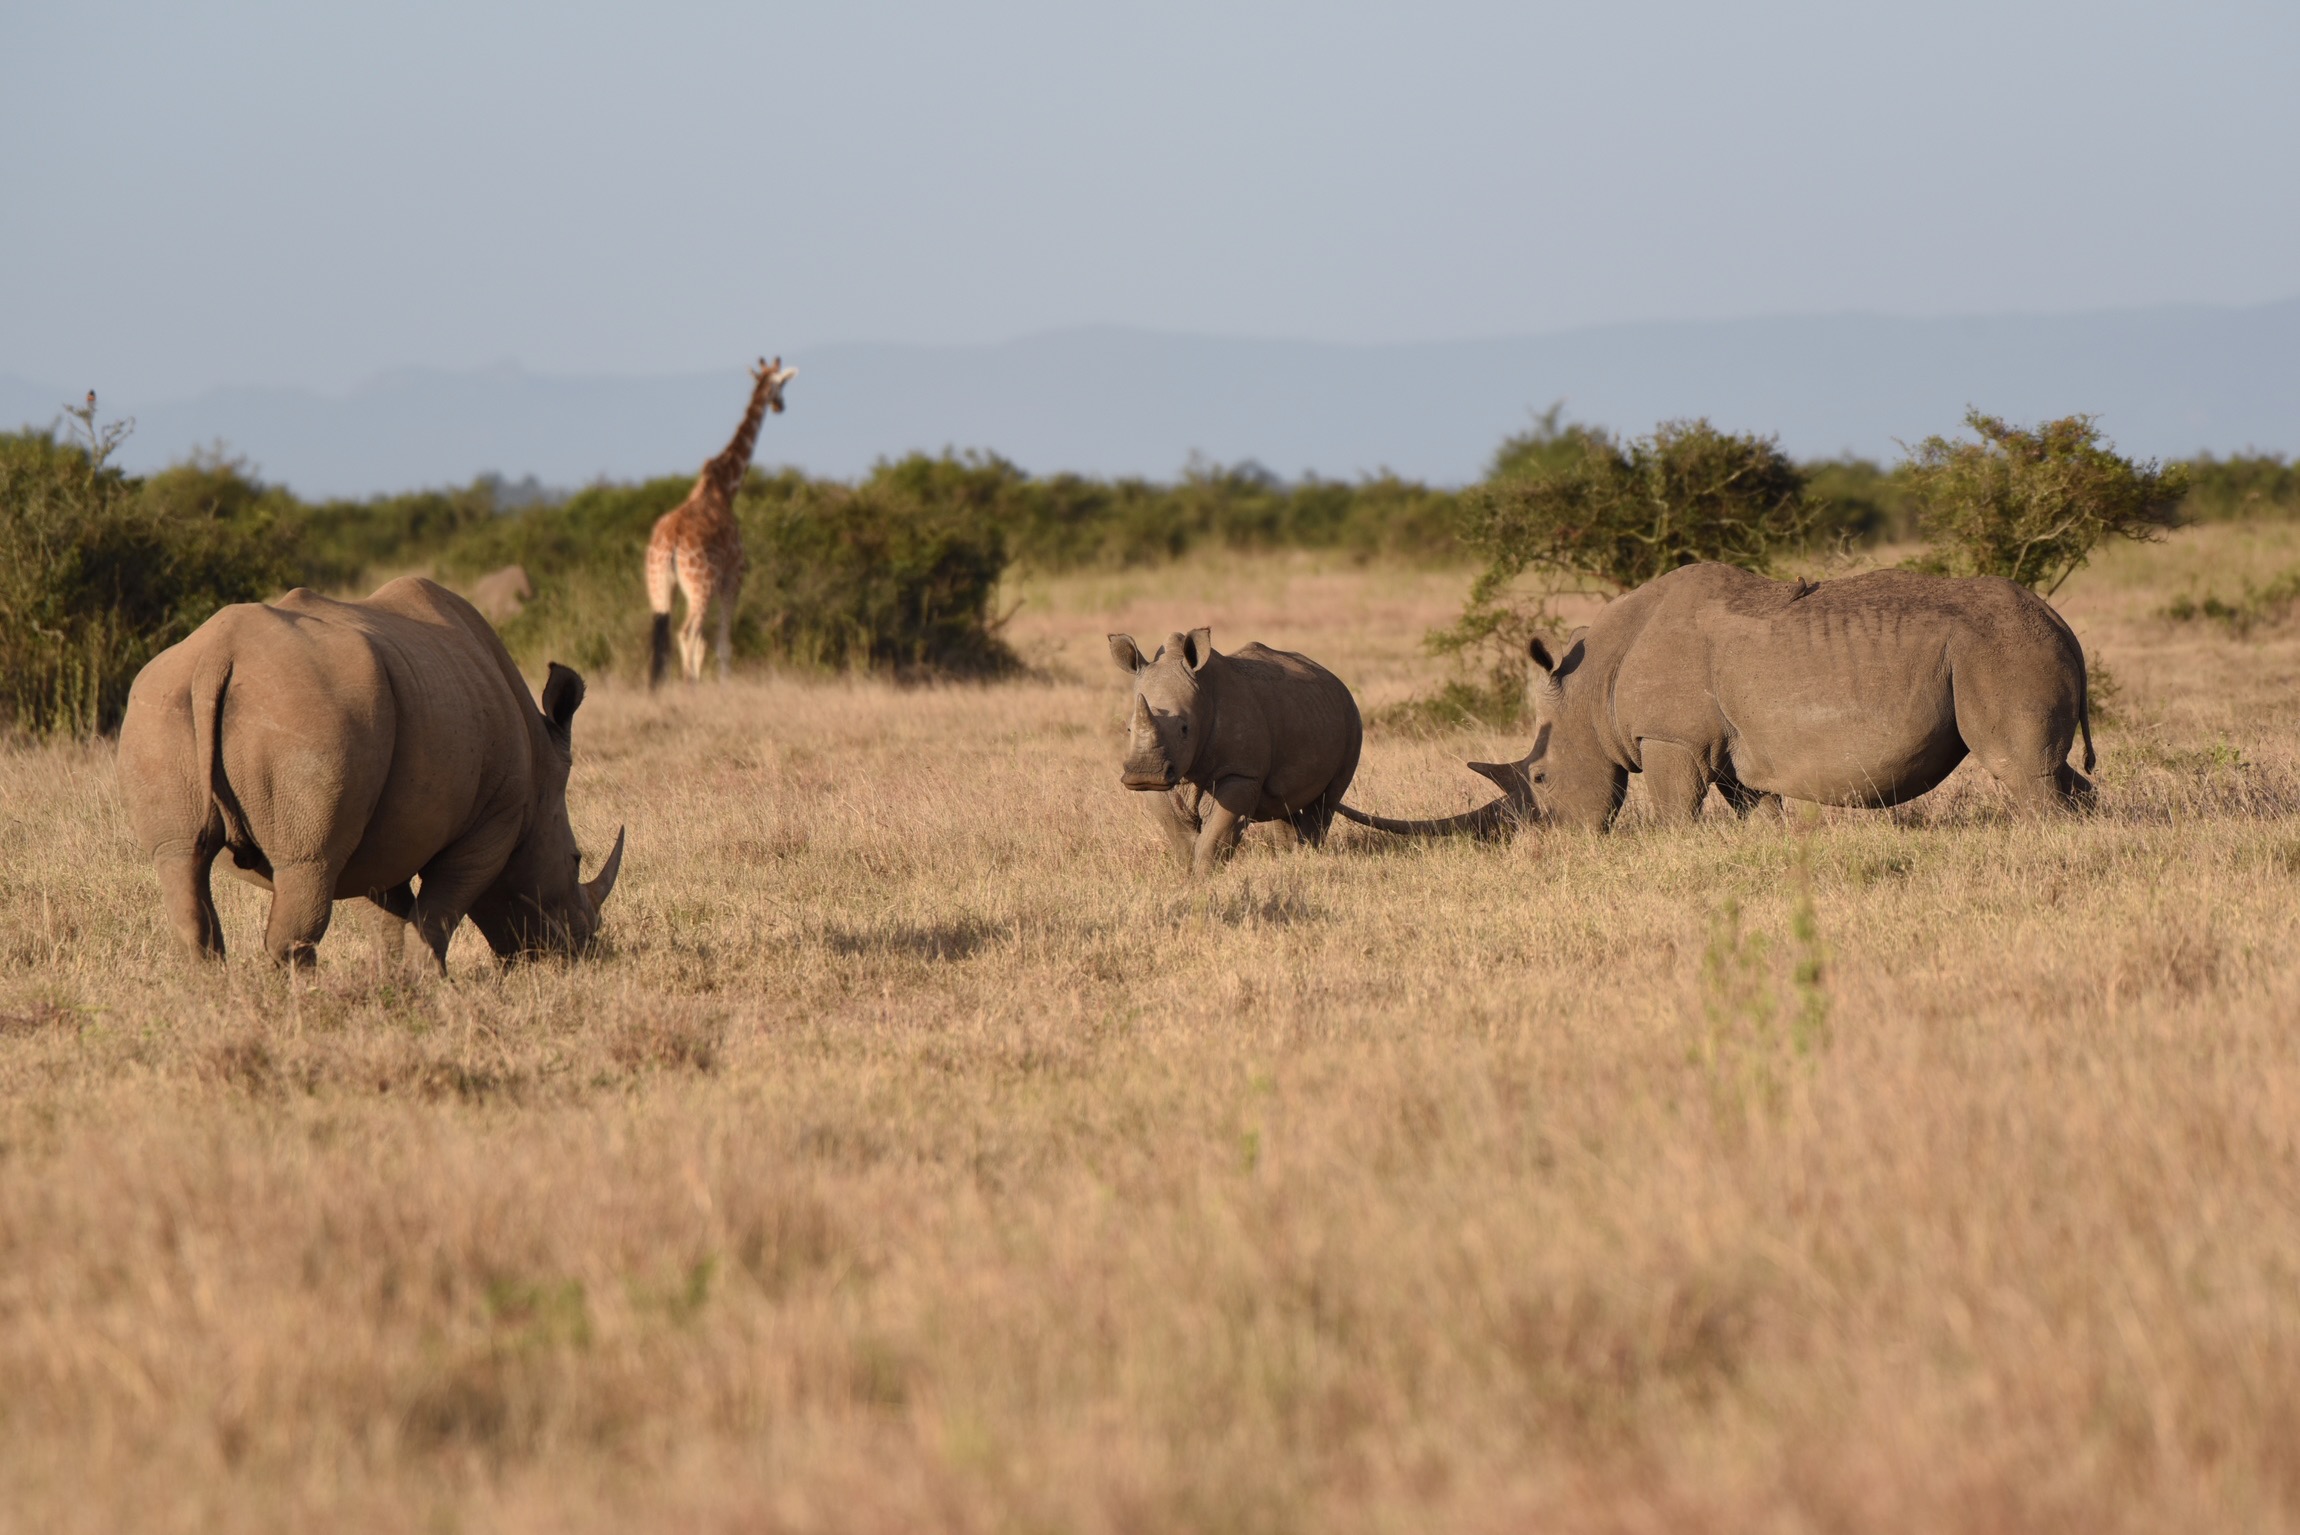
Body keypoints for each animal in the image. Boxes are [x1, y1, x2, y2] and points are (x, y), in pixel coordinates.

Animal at [118, 576, 624, 969]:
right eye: (575, 859)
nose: (582, 951)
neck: (541, 773)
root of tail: (216, 656)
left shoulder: (373, 830)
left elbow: (389, 914)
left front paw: (395, 983)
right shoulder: (493, 822)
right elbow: (440, 909)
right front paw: (432, 985)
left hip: (161, 705)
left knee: (181, 857)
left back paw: (214, 996)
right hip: (306, 710)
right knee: (307, 865)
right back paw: (302, 1002)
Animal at [645, 356, 797, 686]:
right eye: (781, 384)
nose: (780, 405)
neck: (725, 488)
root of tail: (671, 544)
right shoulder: (733, 575)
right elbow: (722, 643)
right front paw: (724, 685)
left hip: (658, 585)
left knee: (662, 637)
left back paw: (662, 687)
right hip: (699, 584)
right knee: (688, 632)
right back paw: (690, 685)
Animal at [1111, 628, 1363, 874]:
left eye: (1185, 729)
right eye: (1129, 729)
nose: (1145, 774)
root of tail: (1335, 679)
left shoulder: (1240, 773)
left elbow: (1215, 836)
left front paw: (1206, 877)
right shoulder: (1166, 779)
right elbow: (1181, 837)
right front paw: (1187, 876)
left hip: (1351, 718)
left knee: (1325, 801)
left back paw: (1309, 857)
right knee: (1282, 803)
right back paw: (1291, 858)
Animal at [1340, 563, 2094, 836]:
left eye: (1544, 778)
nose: (1541, 840)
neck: (1594, 685)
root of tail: (2066, 626)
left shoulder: (1670, 737)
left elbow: (1675, 809)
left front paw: (1674, 849)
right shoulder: (1731, 747)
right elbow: (1755, 807)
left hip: (1998, 651)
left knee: (2022, 770)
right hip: (2013, 648)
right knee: (2058, 772)